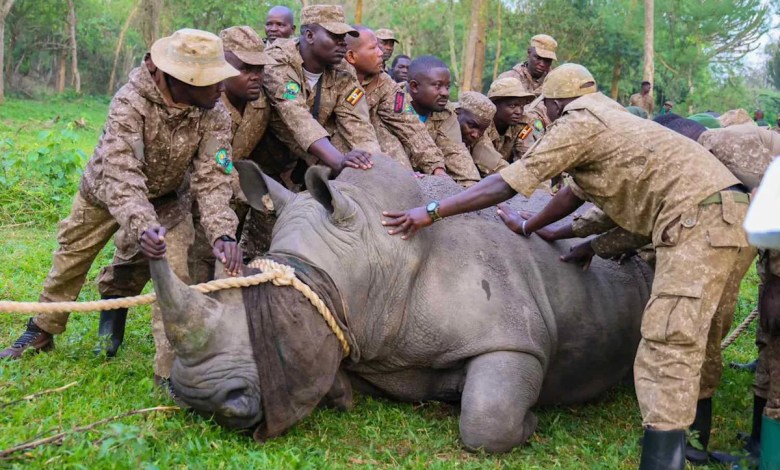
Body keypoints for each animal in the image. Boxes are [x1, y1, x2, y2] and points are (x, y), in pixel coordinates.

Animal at [149, 155, 653, 453]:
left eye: (280, 317)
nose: (199, 400)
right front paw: (342, 392)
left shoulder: (515, 339)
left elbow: (485, 421)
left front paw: (529, 424)